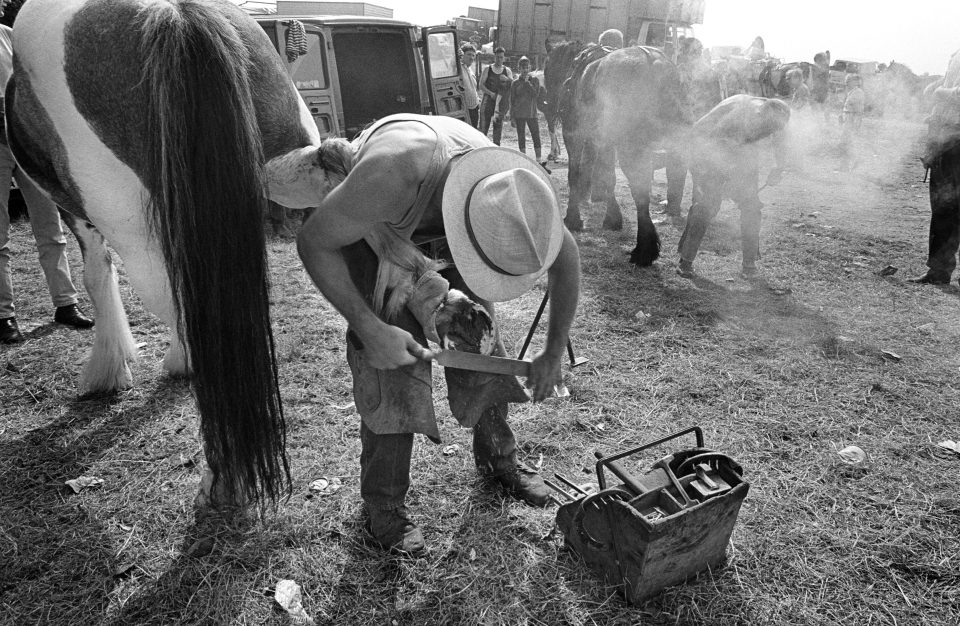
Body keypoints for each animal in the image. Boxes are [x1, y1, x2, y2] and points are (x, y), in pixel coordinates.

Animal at [3, 0, 324, 504]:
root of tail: (172, 12)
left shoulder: (80, 214)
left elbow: (98, 275)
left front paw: (110, 368)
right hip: (294, 176)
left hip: (133, 229)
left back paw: (224, 476)